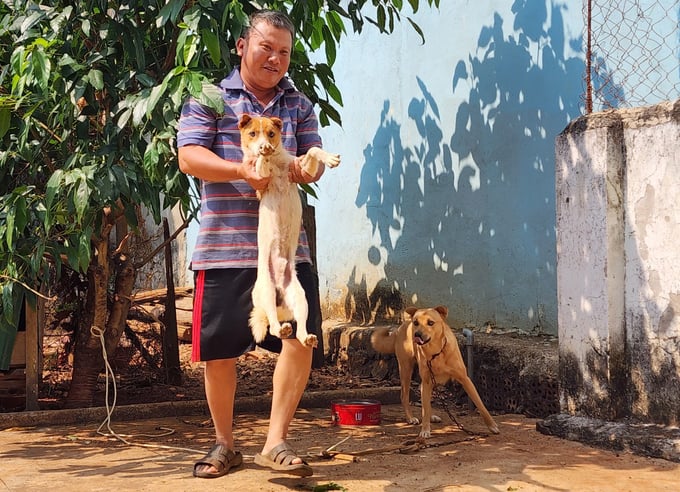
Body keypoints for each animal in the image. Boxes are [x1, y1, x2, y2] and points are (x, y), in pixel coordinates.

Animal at [239, 113, 340, 348]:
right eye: (252, 134)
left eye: (271, 133)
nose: (263, 145)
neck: (275, 161)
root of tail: (278, 290)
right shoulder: (260, 179)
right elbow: (260, 164)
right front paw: (262, 154)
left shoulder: (299, 169)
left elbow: (312, 151)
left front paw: (329, 158)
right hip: (266, 293)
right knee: (273, 327)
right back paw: (280, 328)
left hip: (301, 298)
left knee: (300, 327)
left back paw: (307, 337)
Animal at [372, 306, 500, 436]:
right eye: (416, 323)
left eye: (430, 323)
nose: (417, 334)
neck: (436, 352)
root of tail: (401, 327)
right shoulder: (427, 381)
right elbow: (425, 408)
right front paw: (425, 430)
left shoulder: (464, 379)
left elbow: (480, 404)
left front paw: (492, 425)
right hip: (406, 370)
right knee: (405, 396)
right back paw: (410, 418)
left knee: (425, 402)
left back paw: (431, 416)